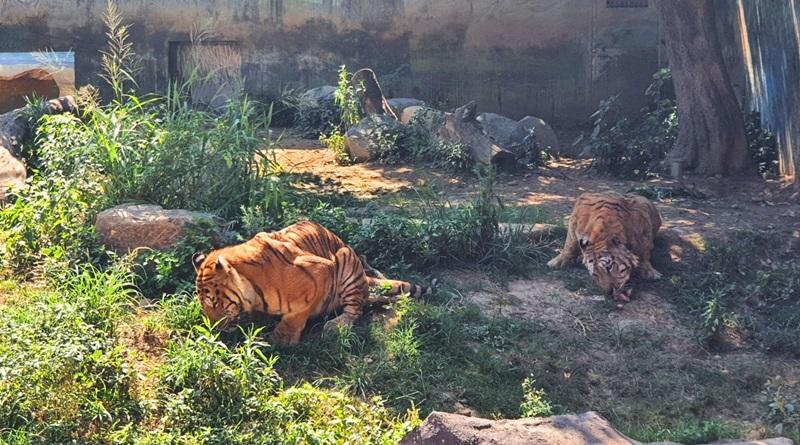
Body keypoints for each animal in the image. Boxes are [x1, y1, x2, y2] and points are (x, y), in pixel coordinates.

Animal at [195, 220, 428, 346]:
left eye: (214, 302)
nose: (213, 329)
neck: (254, 291)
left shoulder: (321, 270)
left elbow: (298, 313)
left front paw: (282, 338)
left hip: (345, 260)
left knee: (357, 308)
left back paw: (335, 325)